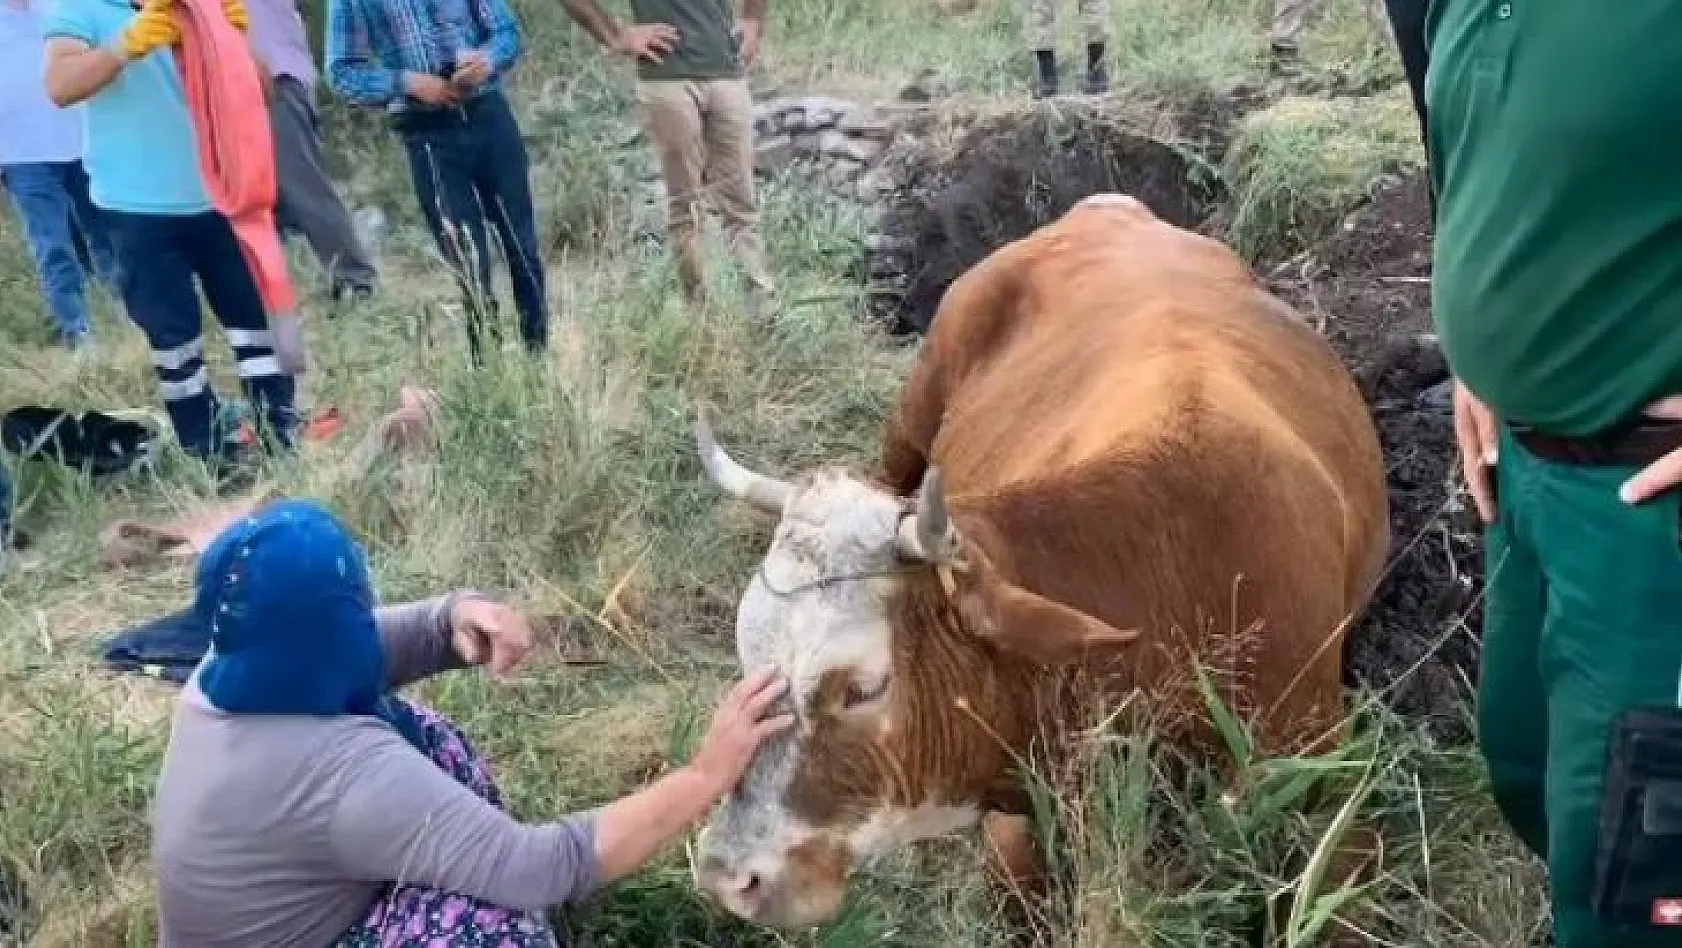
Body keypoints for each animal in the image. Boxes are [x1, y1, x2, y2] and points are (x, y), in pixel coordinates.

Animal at [689, 190, 1385, 927]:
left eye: (861, 689)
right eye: (747, 659)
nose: (729, 876)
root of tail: (1106, 205)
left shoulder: (1327, 780)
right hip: (911, 415)